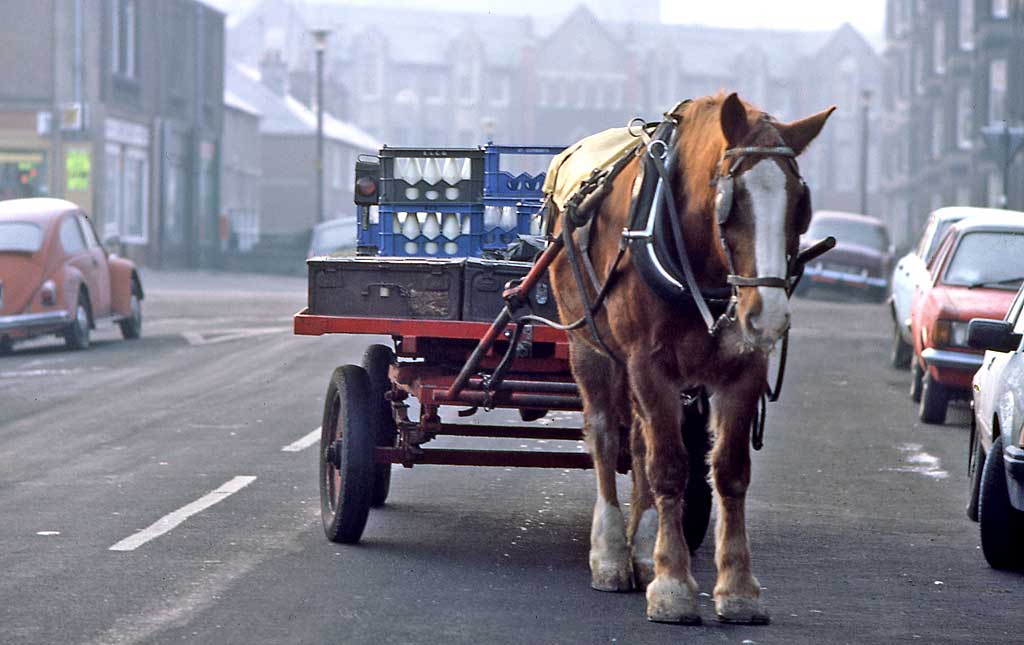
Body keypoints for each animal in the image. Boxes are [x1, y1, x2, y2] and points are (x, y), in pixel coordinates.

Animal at [552, 93, 831, 622]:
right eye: (729, 202)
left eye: (800, 205)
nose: (768, 315)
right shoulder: (647, 364)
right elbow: (669, 468)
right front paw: (673, 586)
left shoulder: (743, 370)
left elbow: (729, 472)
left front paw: (738, 589)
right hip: (591, 347)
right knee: (605, 436)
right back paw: (611, 553)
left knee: (637, 443)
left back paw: (642, 549)